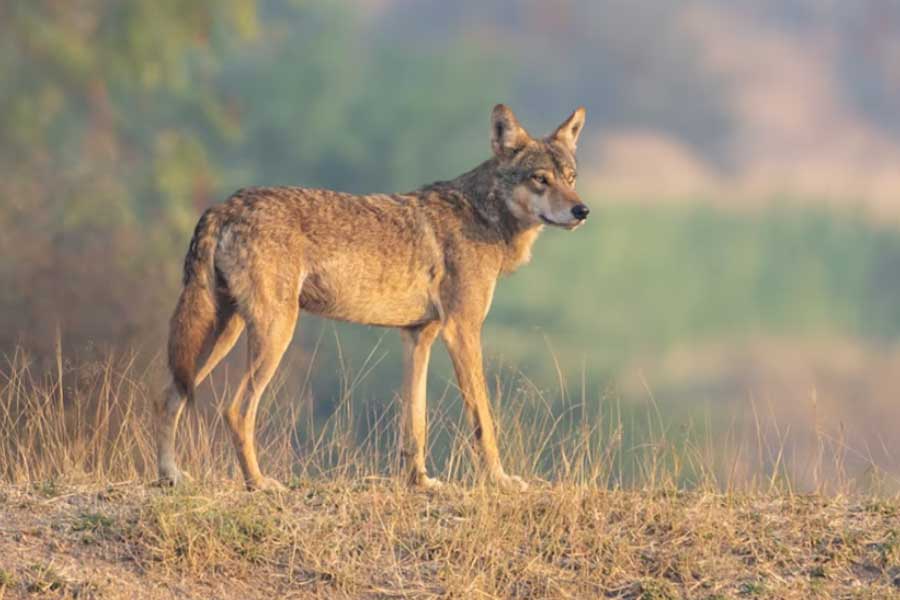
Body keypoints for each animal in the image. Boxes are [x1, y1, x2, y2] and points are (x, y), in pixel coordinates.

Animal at [157, 104, 588, 491]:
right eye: (540, 179)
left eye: (570, 177)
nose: (582, 210)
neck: (485, 215)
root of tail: (224, 205)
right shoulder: (462, 331)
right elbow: (483, 419)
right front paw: (499, 480)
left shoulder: (419, 336)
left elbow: (415, 422)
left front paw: (421, 481)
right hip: (275, 333)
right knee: (235, 410)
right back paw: (258, 483)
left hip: (222, 335)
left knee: (169, 395)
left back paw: (171, 476)